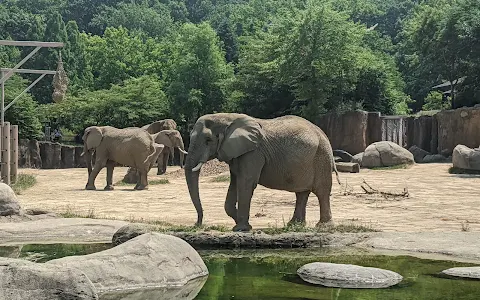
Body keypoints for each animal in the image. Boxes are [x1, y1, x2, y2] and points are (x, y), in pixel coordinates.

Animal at [185, 112, 342, 232]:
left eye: (208, 140)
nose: (197, 224)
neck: (227, 117)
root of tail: (323, 134)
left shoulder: (253, 153)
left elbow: (246, 182)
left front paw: (241, 228)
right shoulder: (238, 153)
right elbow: (235, 182)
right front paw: (243, 224)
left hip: (322, 157)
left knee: (321, 191)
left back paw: (323, 227)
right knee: (302, 193)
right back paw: (294, 225)